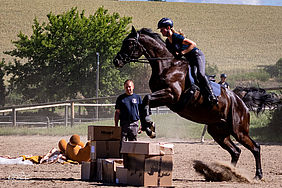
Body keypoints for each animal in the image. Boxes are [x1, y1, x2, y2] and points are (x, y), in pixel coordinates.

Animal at [113, 26, 264, 179]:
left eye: (130, 43)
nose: (116, 61)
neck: (167, 65)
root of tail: (241, 101)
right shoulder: (165, 99)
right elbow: (144, 103)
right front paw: (149, 127)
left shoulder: (171, 95)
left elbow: (146, 99)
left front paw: (149, 126)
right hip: (218, 132)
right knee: (236, 151)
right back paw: (228, 172)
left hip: (239, 131)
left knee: (255, 147)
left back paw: (257, 175)